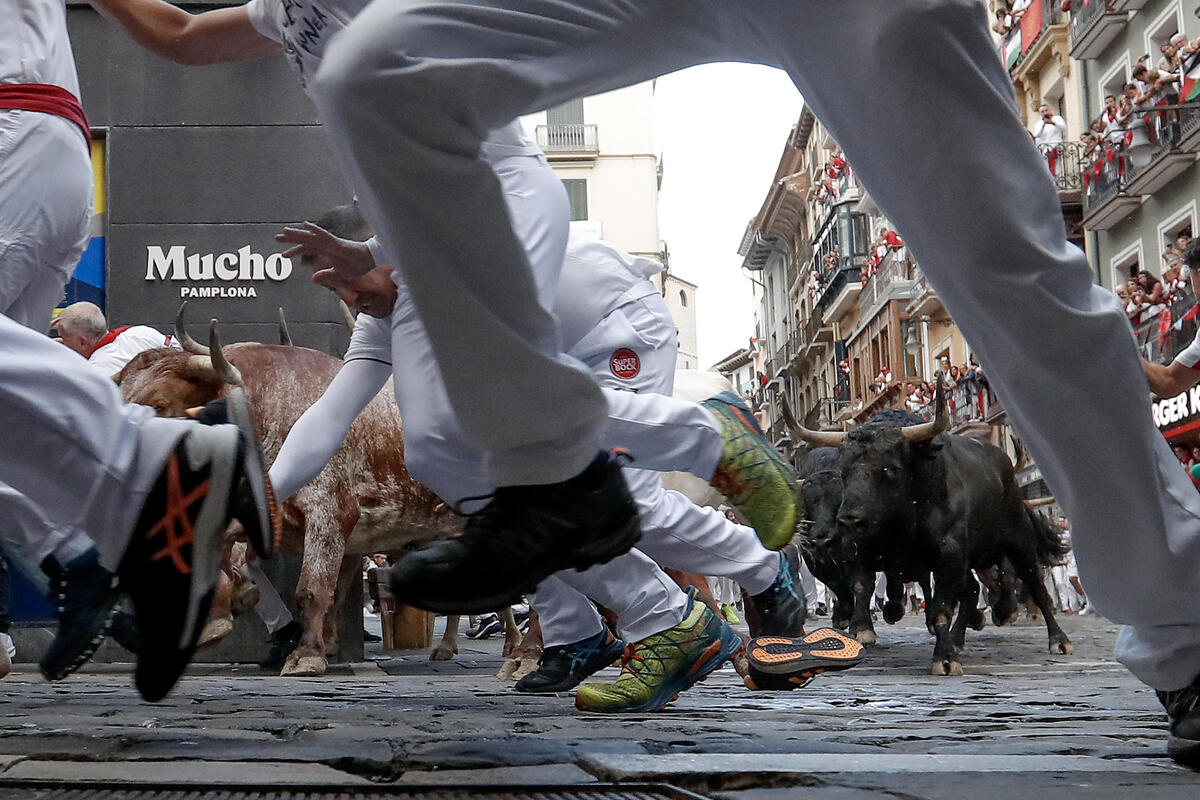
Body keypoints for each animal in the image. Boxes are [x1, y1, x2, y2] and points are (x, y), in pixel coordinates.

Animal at [787, 388, 1070, 676]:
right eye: (844, 471)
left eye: (890, 468)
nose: (848, 520)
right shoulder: (860, 553)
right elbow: (861, 587)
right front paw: (862, 628)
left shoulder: (949, 555)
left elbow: (941, 610)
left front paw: (944, 658)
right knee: (972, 591)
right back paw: (960, 635)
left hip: (1019, 541)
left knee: (1035, 585)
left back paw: (1057, 639)